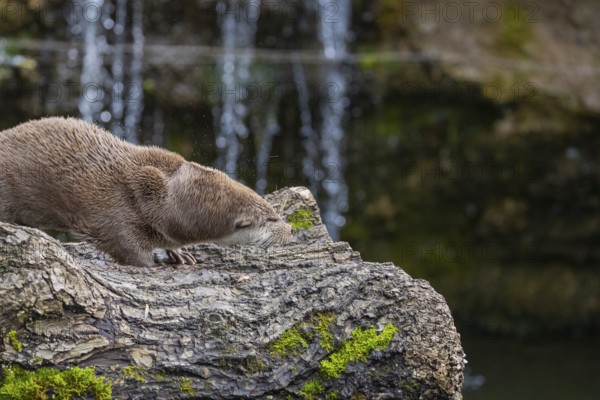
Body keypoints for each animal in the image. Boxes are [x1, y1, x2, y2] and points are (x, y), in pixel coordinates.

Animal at [0, 117, 296, 268]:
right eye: (270, 220)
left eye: (273, 210)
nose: (291, 230)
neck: (162, 200)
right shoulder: (115, 216)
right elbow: (126, 249)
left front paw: (179, 252)